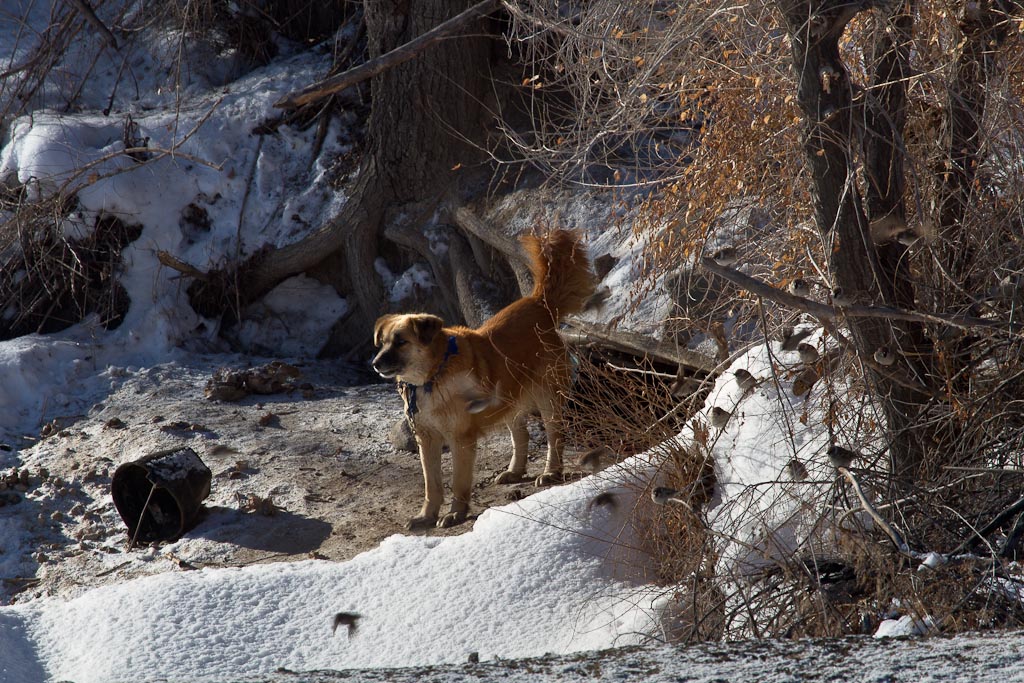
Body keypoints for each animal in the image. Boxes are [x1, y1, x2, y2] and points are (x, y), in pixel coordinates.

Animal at [372, 229, 598, 528]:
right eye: (382, 342)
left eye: (401, 342)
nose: (375, 364)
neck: (434, 374)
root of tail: (538, 303)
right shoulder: (426, 439)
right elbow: (432, 484)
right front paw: (426, 516)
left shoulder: (460, 439)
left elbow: (458, 481)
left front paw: (456, 513)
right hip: (509, 399)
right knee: (521, 435)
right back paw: (515, 471)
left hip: (547, 397)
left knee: (554, 437)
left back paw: (550, 472)